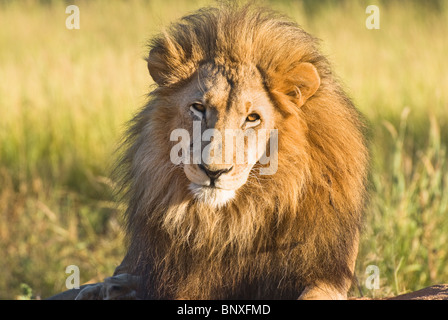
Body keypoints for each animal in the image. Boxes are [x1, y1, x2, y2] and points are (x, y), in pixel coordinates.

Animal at [52, 3, 370, 300]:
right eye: (199, 107)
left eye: (252, 118)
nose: (213, 171)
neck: (228, 223)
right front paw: (106, 287)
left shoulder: (325, 271)